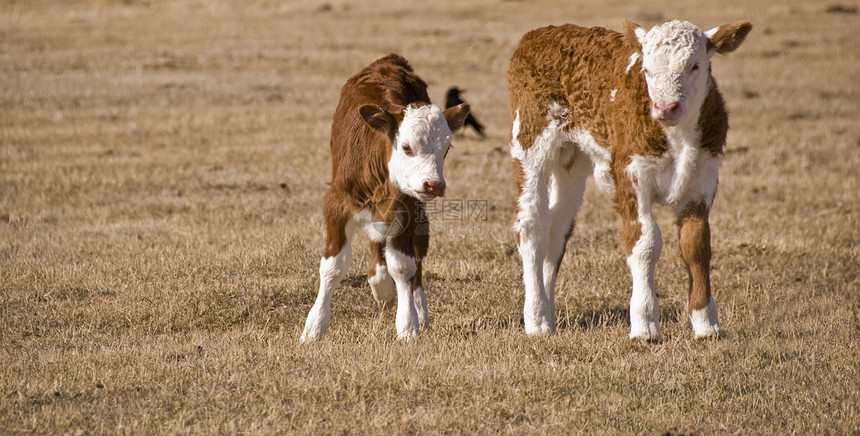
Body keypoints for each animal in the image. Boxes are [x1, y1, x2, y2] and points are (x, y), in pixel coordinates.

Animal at [298, 52, 470, 342]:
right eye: (407, 147)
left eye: (446, 149)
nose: (433, 185)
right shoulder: (337, 203)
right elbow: (333, 266)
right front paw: (314, 327)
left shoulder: (409, 207)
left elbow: (403, 265)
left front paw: (409, 324)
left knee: (415, 256)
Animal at [508, 18, 748, 338]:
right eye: (646, 70)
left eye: (695, 66)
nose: (665, 107)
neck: (677, 136)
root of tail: (541, 33)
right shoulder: (630, 176)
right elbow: (646, 241)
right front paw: (644, 324)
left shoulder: (702, 180)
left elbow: (696, 245)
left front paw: (705, 323)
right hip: (529, 142)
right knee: (532, 227)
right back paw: (535, 319)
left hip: (572, 160)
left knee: (557, 229)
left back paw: (547, 314)